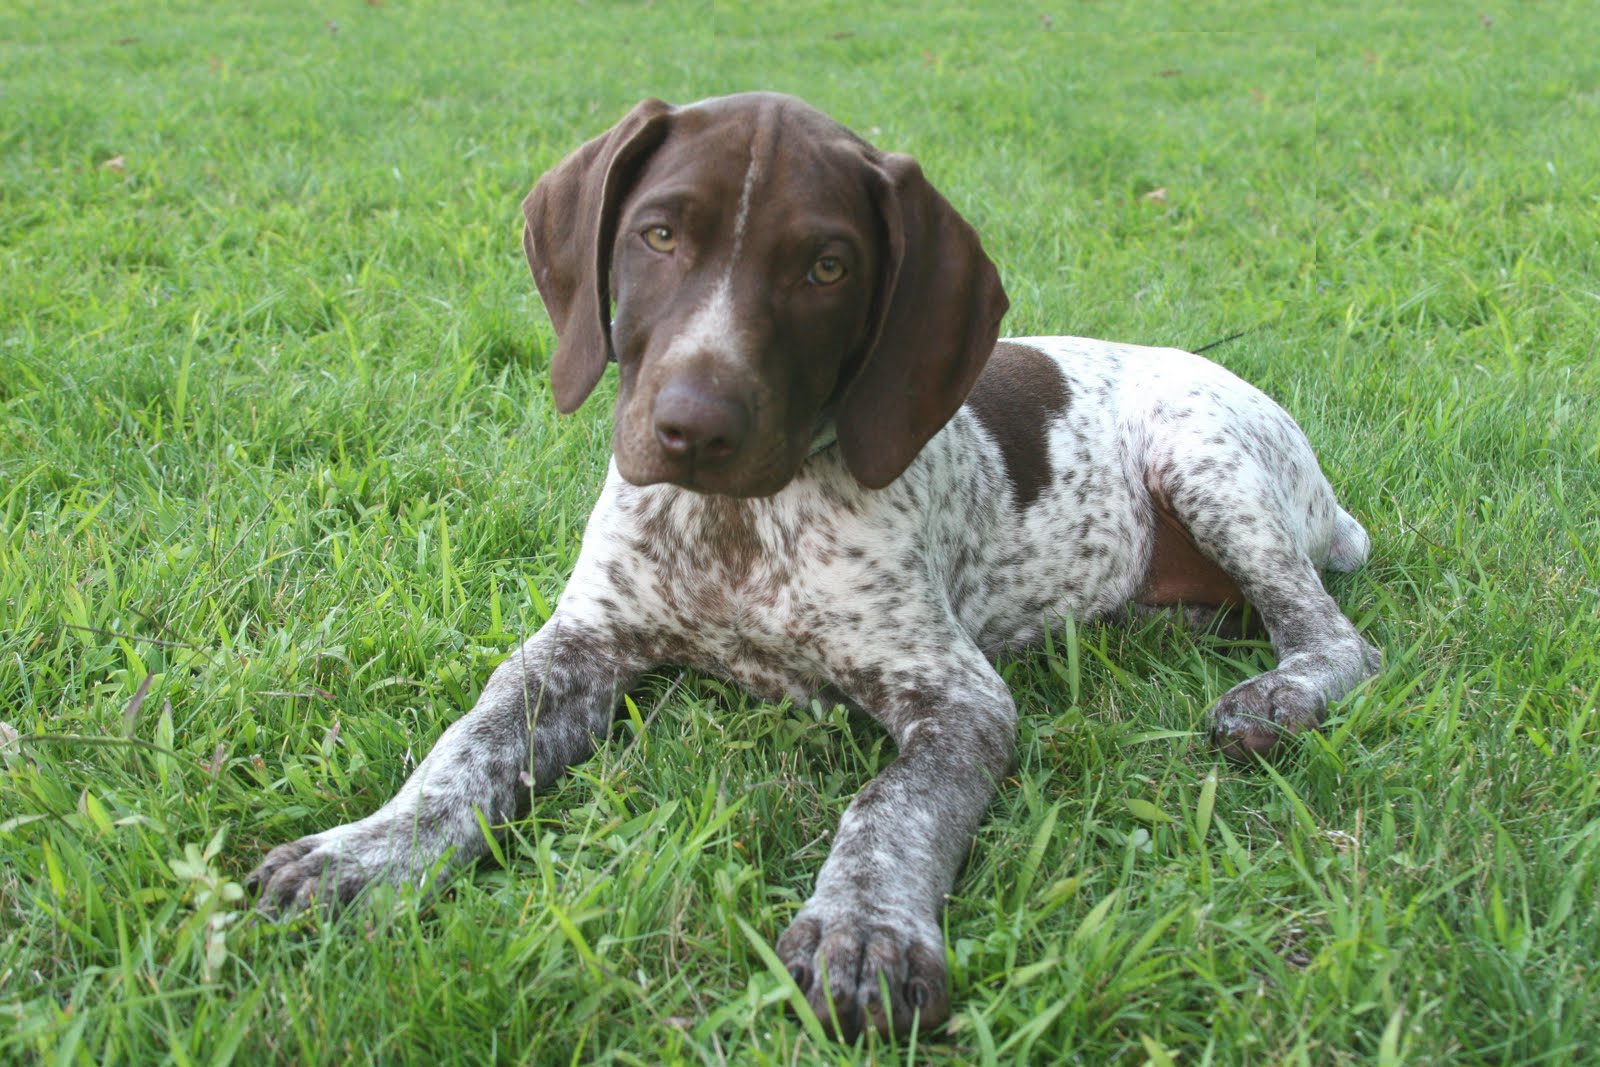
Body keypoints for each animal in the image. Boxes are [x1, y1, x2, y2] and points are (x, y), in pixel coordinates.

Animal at [246, 93, 1376, 1043]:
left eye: (826, 267)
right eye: (659, 234)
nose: (692, 427)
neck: (736, 524)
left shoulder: (956, 694)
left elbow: (887, 809)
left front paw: (863, 929)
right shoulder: (577, 646)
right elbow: (463, 750)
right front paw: (367, 851)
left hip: (1205, 459)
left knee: (1335, 635)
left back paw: (1277, 695)